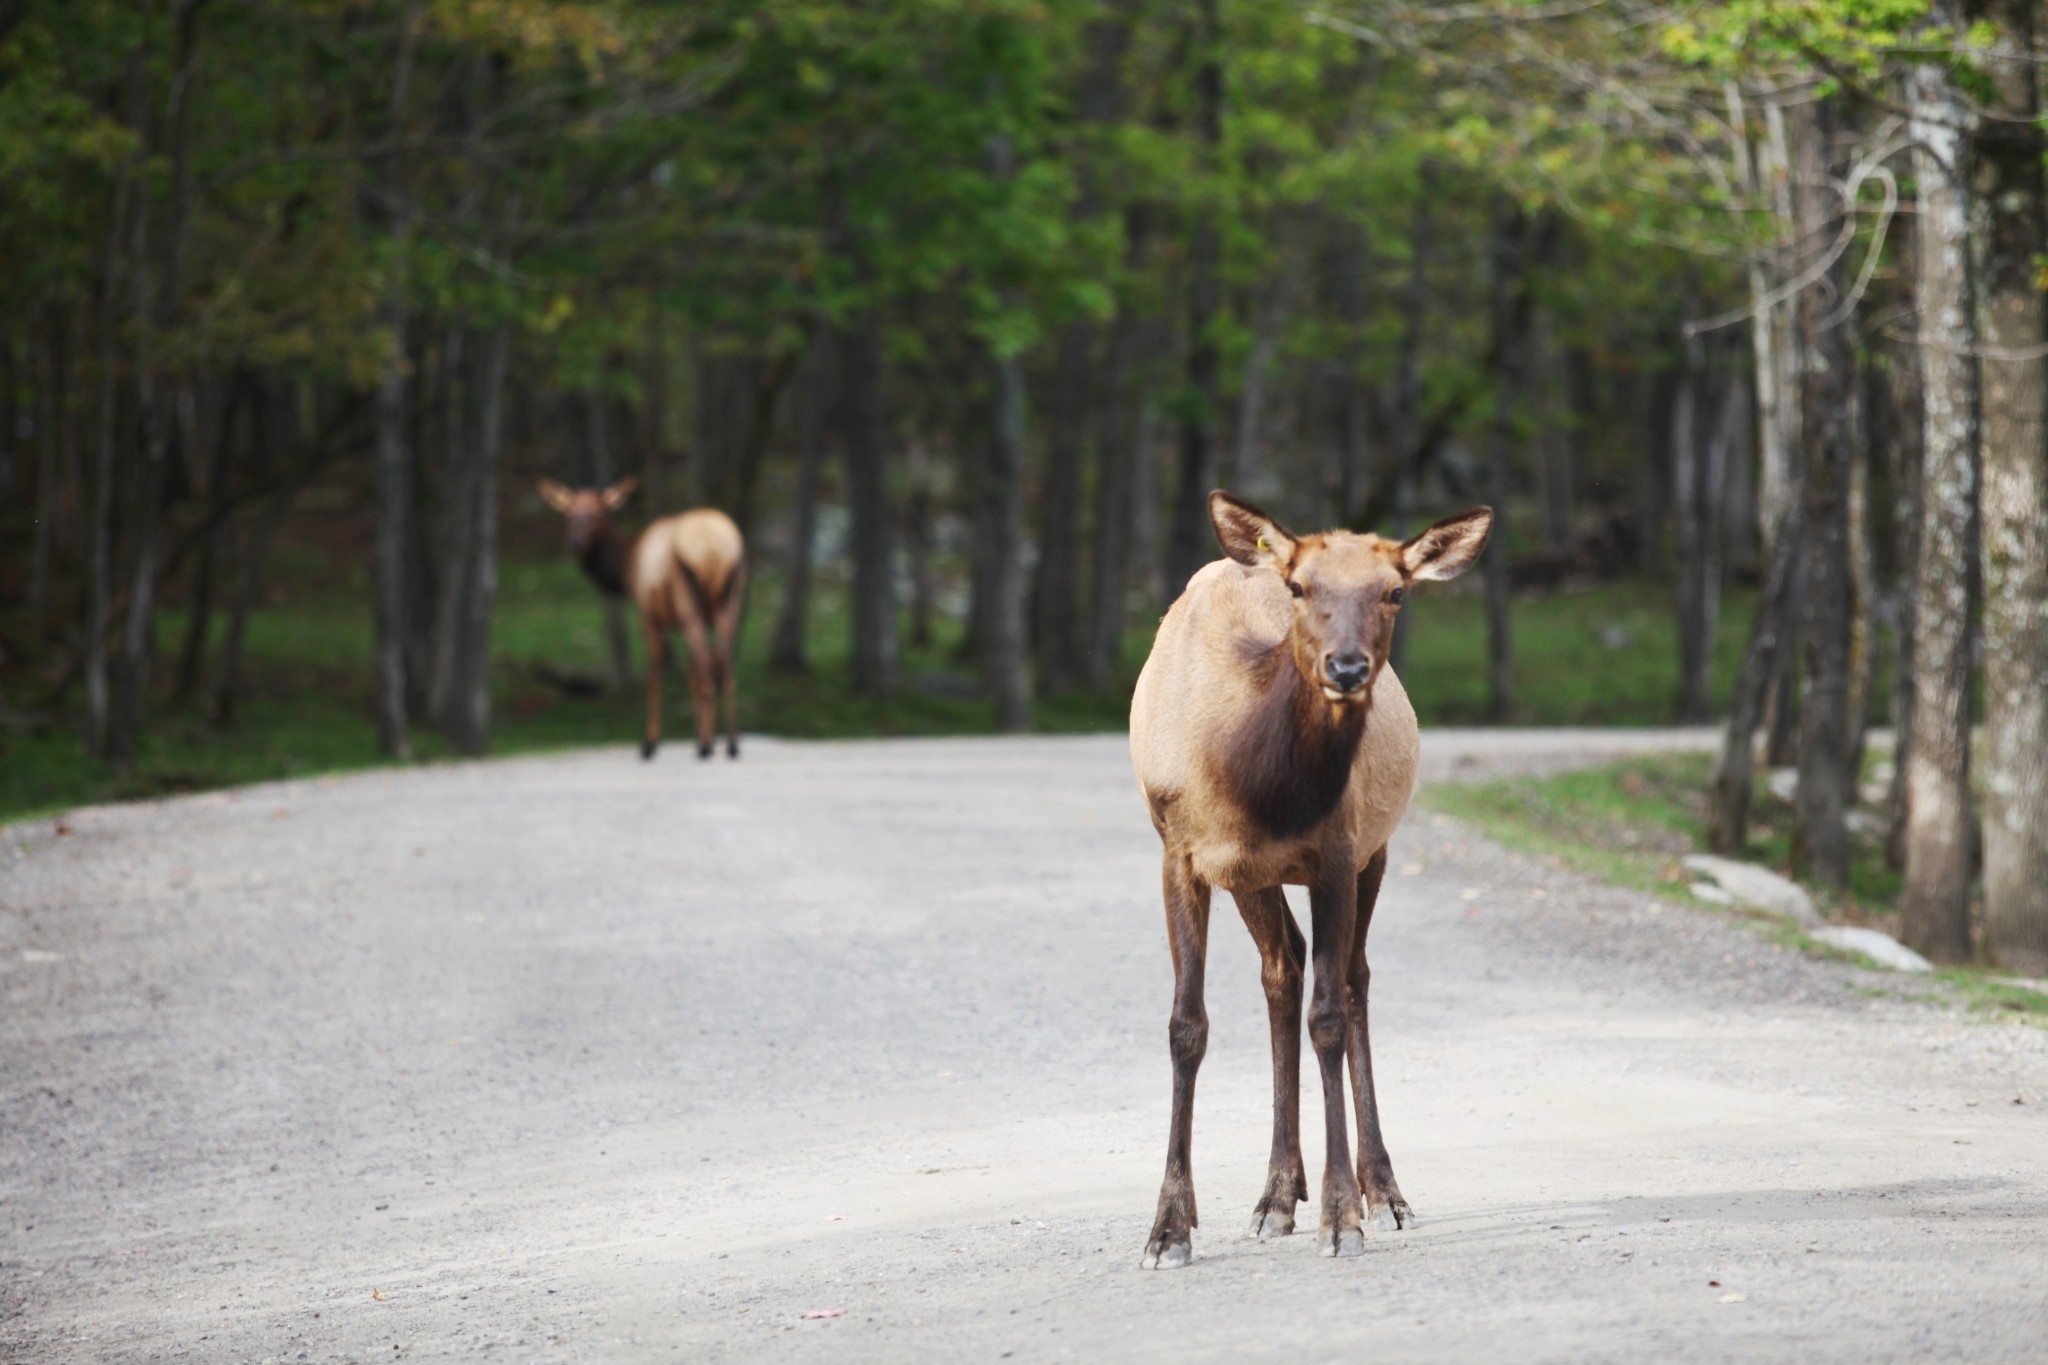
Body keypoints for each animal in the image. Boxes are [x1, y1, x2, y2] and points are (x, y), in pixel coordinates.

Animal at [532, 478, 749, 757]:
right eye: (569, 514)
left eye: (598, 514)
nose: (576, 543)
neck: (626, 567)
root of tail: (716, 551)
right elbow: (690, 675)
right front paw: (698, 734)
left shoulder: (648, 613)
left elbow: (655, 675)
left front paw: (650, 743)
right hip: (731, 602)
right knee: (726, 668)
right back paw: (731, 743)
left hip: (690, 603)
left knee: (707, 672)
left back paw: (707, 748)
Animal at [1130, 489, 1499, 1268]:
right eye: (1300, 587)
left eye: (1395, 591)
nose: (1348, 667)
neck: (1251, 783)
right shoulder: (1182, 852)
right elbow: (1186, 1024)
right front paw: (1168, 1227)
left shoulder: (1337, 850)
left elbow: (1328, 1017)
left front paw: (1341, 1214)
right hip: (1254, 877)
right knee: (1283, 966)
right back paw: (1275, 1193)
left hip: (1373, 853)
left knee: (1352, 980)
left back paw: (1381, 1191)